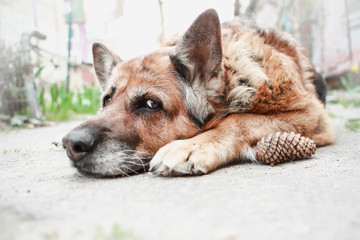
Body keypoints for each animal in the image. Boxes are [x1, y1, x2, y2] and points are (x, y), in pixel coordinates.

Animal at [62, 9, 334, 177]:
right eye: (107, 100)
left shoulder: (312, 115)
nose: (71, 144)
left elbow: (241, 120)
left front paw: (192, 146)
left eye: (151, 104)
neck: (235, 80)